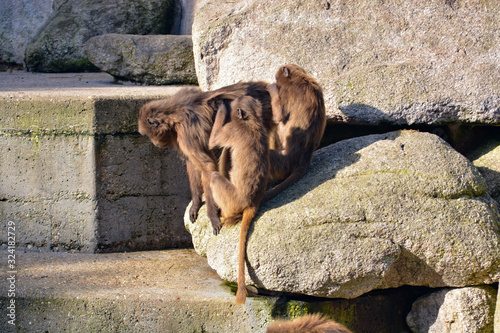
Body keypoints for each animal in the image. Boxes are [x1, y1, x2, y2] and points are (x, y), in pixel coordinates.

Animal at [139, 81, 276, 235]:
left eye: (149, 135)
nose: (154, 143)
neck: (173, 111)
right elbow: (193, 163)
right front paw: (196, 203)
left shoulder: (186, 131)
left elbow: (208, 167)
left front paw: (212, 215)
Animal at [207, 96, 270, 304]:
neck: (253, 122)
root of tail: (252, 201)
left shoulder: (233, 129)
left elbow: (213, 142)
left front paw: (221, 107)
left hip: (232, 199)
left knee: (216, 175)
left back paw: (224, 214)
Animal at [264, 63, 326, 201]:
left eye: (276, 78)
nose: (276, 82)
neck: (299, 78)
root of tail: (303, 161)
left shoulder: (286, 91)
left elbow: (278, 117)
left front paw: (271, 87)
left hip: (283, 163)